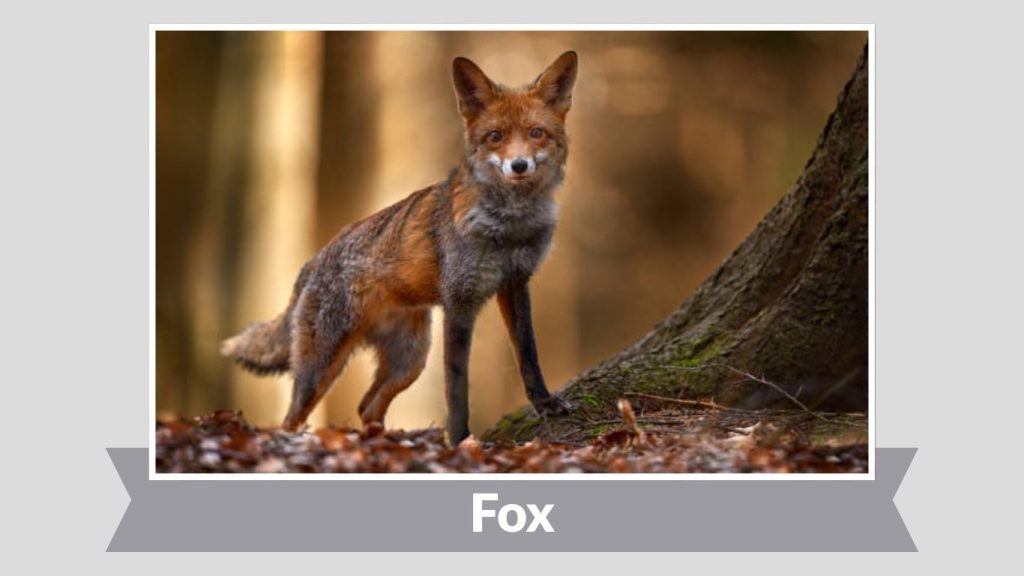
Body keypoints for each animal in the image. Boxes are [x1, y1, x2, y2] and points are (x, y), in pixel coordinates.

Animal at [221, 51, 578, 444]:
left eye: (536, 133)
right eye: (495, 137)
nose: (519, 165)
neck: (509, 226)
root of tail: (313, 260)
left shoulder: (515, 284)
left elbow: (528, 354)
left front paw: (544, 402)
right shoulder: (459, 302)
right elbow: (457, 385)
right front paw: (460, 441)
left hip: (409, 360)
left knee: (367, 406)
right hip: (323, 367)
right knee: (291, 418)